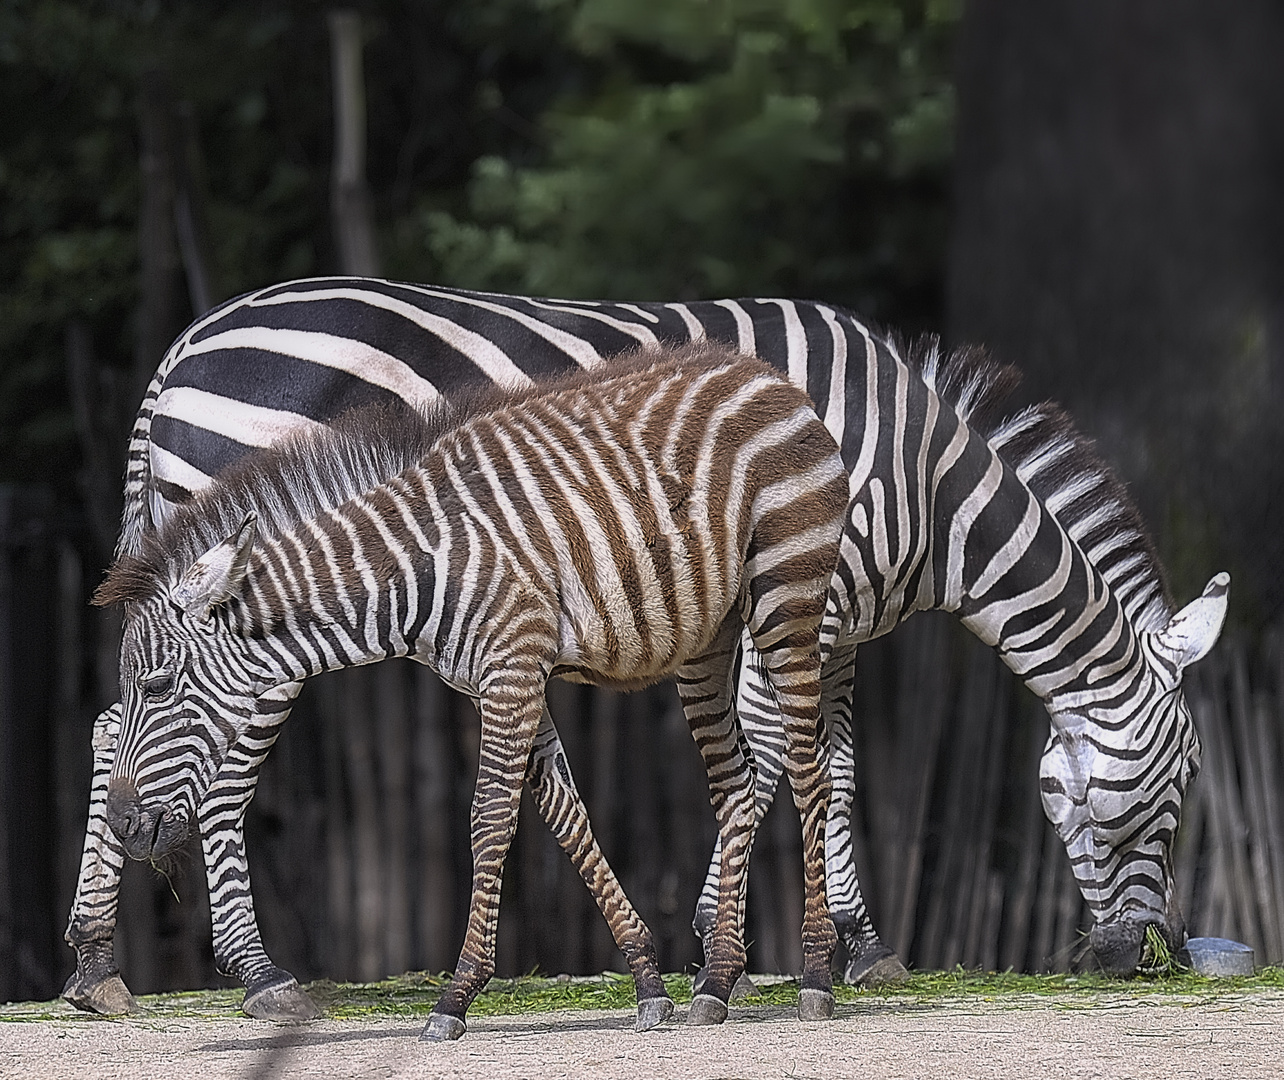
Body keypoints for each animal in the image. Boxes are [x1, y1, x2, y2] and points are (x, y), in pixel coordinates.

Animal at [67, 276, 1222, 1022]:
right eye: (1180, 788)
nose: (1145, 960)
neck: (929, 483)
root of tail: (187, 345)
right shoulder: (810, 594)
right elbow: (778, 759)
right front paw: (741, 951)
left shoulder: (834, 621)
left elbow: (833, 769)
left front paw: (848, 947)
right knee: (210, 766)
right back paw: (257, 973)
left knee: (114, 723)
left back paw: (92, 967)